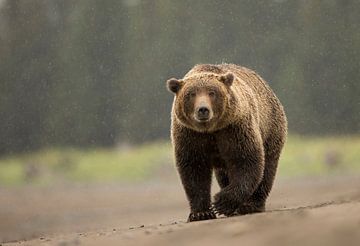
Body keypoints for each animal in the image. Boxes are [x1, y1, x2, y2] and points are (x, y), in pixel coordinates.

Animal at [166, 63, 286, 221]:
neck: (210, 130)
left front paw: (221, 202)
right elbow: (194, 169)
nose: (203, 110)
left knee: (267, 169)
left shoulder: (234, 128)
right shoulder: (190, 135)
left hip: (270, 128)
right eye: (191, 94)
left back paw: (251, 205)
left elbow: (246, 161)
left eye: (212, 92)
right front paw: (201, 213)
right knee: (223, 174)